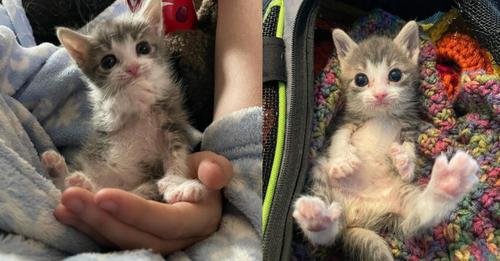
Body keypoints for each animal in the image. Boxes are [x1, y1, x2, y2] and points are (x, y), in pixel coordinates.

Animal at [40, 0, 205, 202]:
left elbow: (176, 155)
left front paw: (178, 185)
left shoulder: (172, 118)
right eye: (108, 61)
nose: (133, 68)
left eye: (143, 48)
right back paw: (61, 172)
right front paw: (132, 94)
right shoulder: (104, 121)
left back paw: (79, 182)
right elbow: (114, 109)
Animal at [292, 21, 480, 258]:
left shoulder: (409, 125)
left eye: (395, 74)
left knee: (420, 214)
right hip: (320, 177)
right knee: (325, 236)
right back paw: (316, 218)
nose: (380, 94)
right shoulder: (345, 121)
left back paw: (448, 182)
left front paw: (405, 162)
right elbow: (339, 139)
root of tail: (355, 216)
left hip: (401, 198)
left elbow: (409, 146)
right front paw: (342, 162)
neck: (382, 114)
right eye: (361, 79)